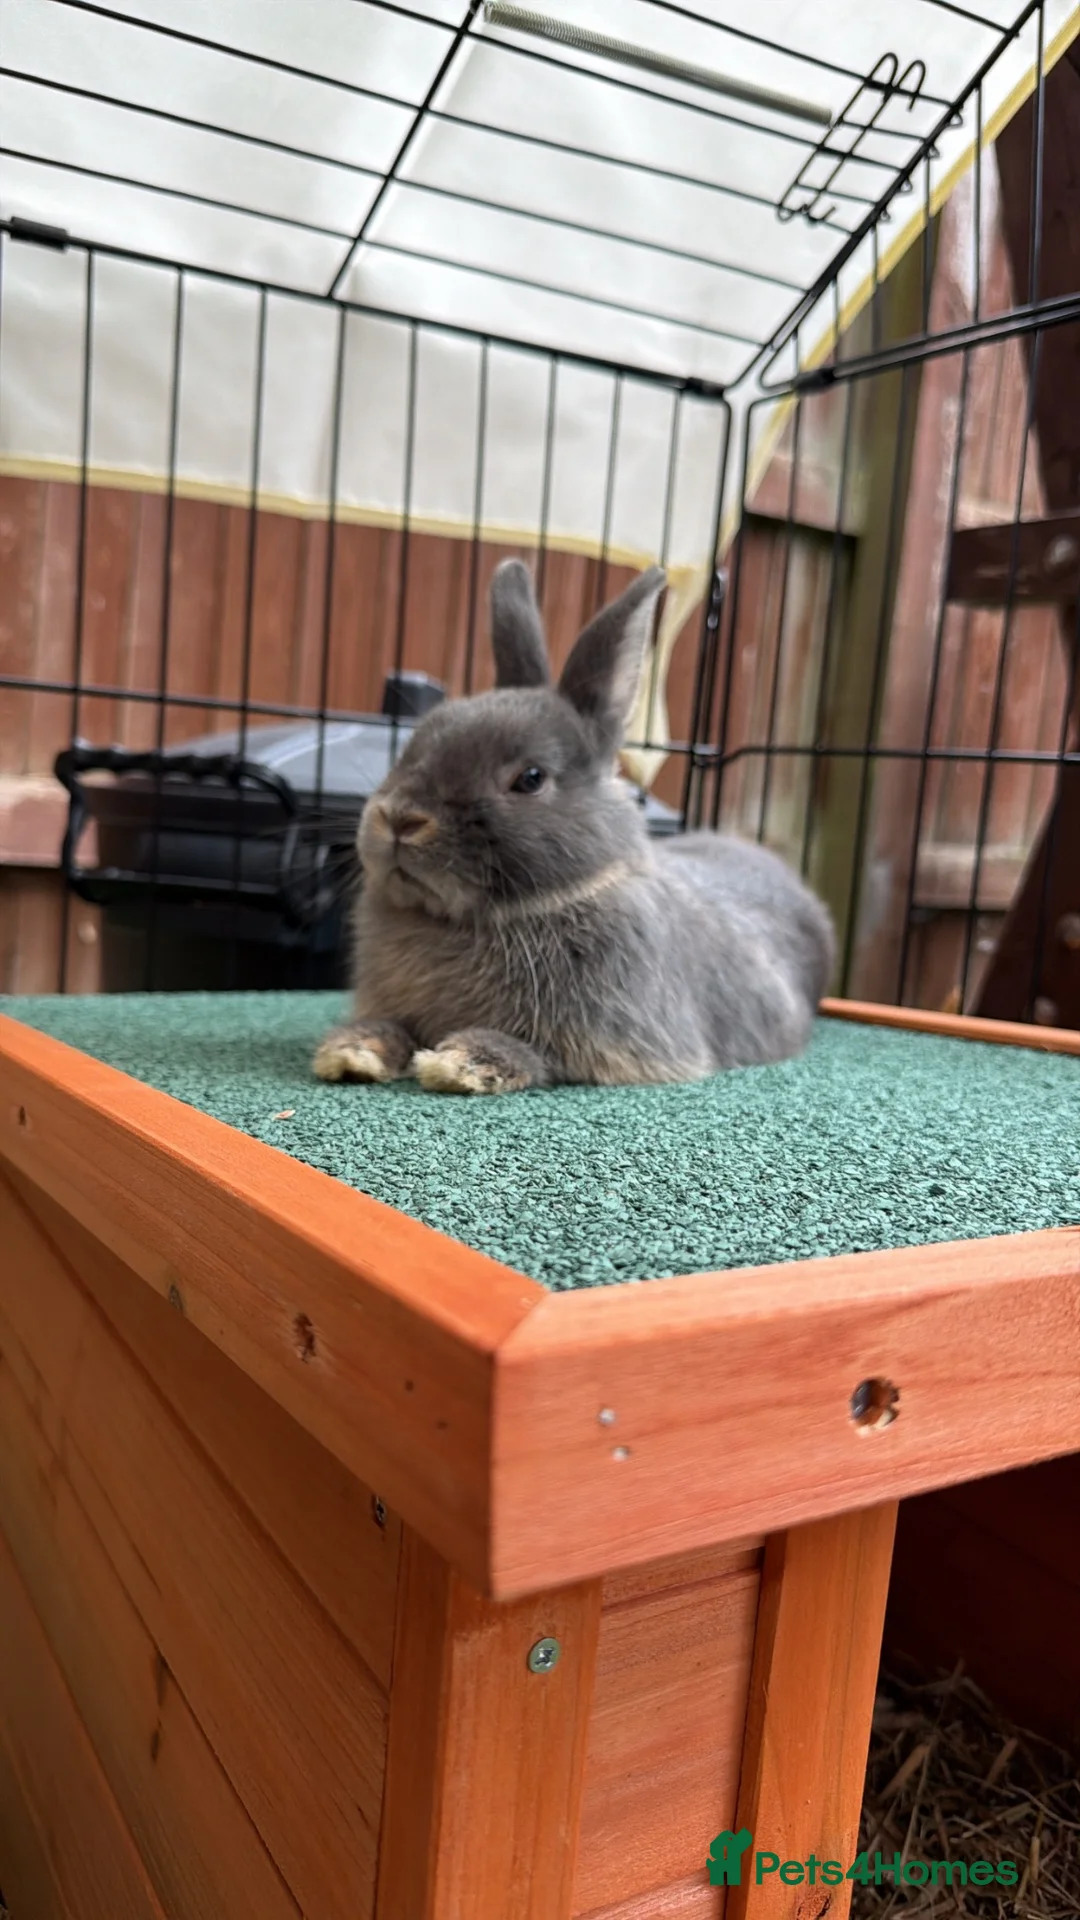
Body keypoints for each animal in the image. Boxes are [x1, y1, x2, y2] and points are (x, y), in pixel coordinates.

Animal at [314, 560, 835, 1095]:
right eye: (413, 744)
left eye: (531, 778)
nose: (400, 818)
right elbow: (390, 1027)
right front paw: (354, 1049)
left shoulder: (612, 1038)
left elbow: (541, 1054)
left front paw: (462, 1062)